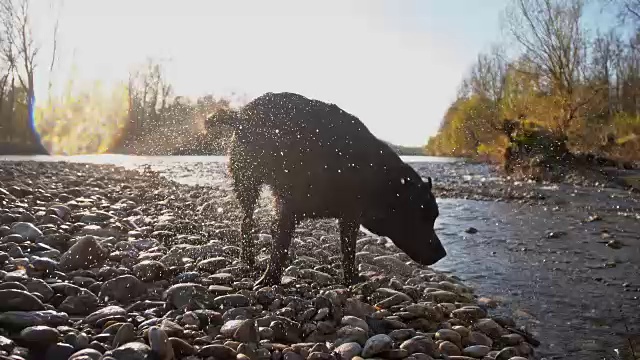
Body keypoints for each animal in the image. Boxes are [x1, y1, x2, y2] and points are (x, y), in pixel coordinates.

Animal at [208, 92, 448, 286]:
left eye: (434, 217)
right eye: (420, 217)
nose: (442, 254)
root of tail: (240, 115)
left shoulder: (350, 216)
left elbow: (348, 252)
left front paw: (352, 280)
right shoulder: (290, 208)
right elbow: (281, 247)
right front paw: (269, 279)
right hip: (248, 181)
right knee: (246, 220)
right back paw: (248, 257)